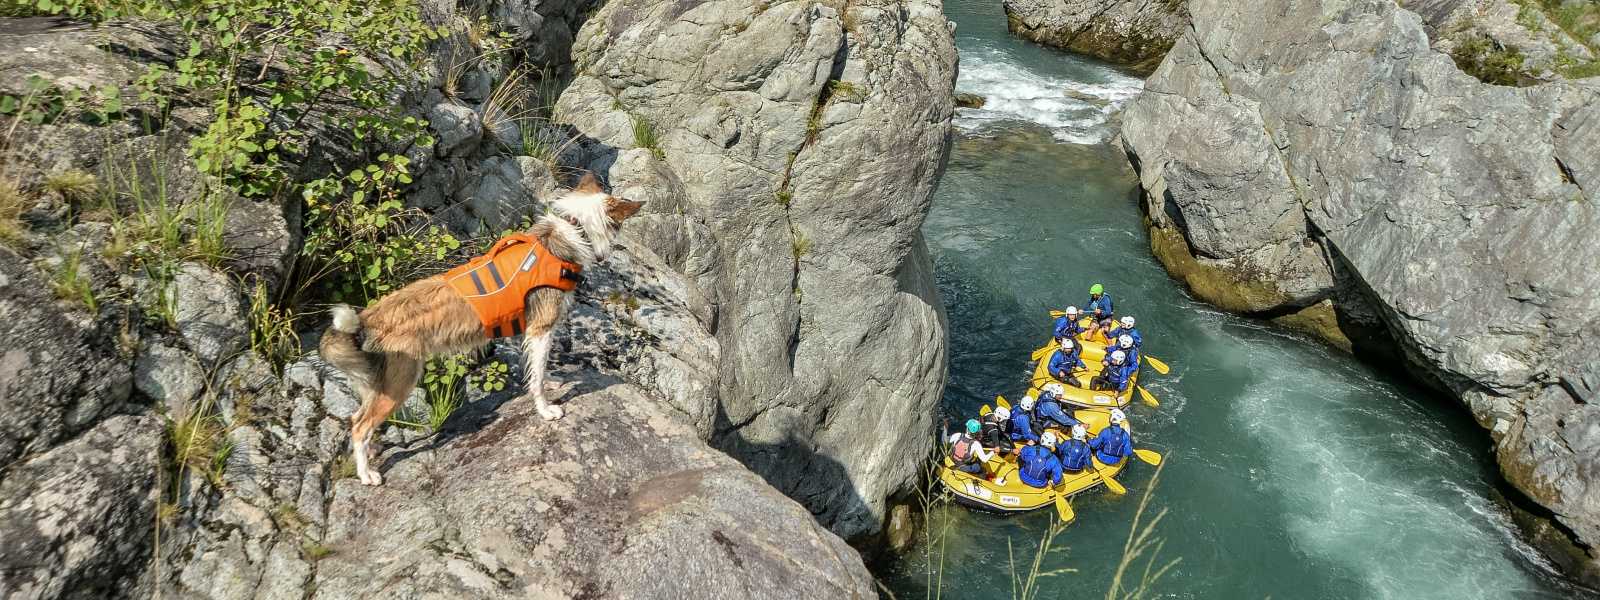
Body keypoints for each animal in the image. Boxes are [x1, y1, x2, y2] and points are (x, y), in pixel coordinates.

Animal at [318, 172, 643, 483]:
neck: (573, 228)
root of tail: (367, 319)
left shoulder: (533, 331)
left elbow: (536, 369)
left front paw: (548, 381)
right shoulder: (541, 328)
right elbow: (537, 377)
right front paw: (545, 409)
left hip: (377, 382)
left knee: (358, 418)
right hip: (400, 381)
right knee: (360, 427)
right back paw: (366, 474)